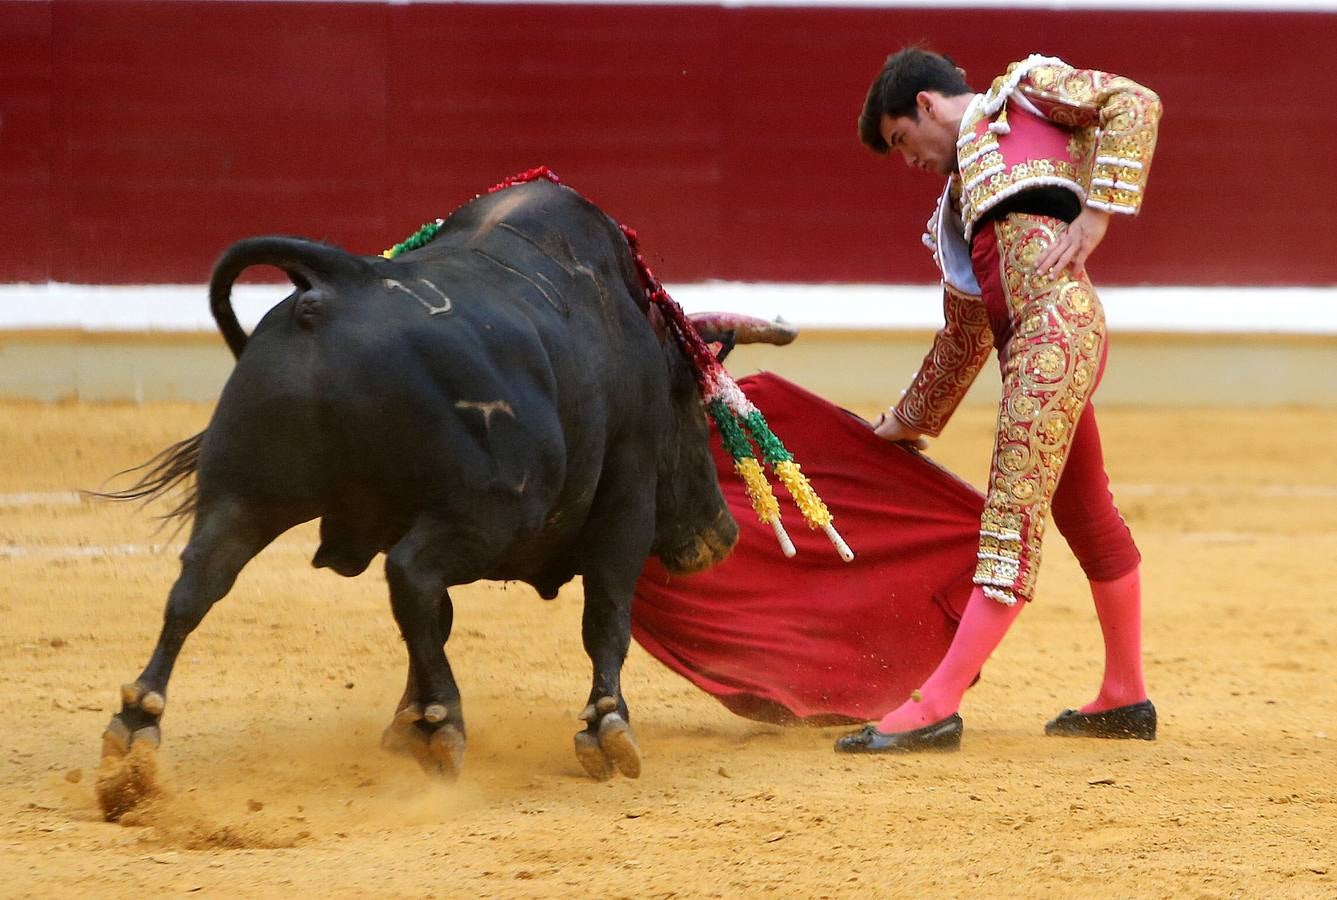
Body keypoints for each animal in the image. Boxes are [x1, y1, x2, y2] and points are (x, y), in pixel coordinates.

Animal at [94, 175, 770, 823]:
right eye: (693, 409)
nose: (723, 534)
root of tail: (342, 283)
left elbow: (436, 623)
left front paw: (404, 722)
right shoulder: (623, 503)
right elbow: (605, 617)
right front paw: (607, 728)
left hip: (244, 494)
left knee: (198, 583)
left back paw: (134, 732)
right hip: (493, 512)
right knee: (410, 575)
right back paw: (446, 724)